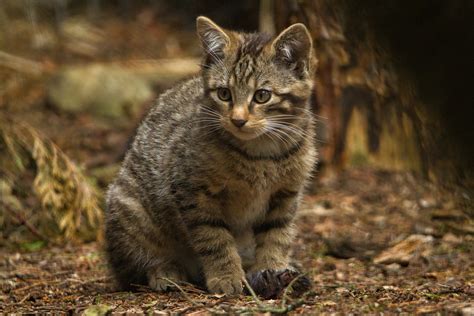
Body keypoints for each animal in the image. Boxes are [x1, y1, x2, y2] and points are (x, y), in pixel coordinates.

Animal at [105, 16, 316, 296]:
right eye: (224, 93)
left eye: (262, 95)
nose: (238, 120)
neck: (261, 154)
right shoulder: (192, 191)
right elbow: (214, 238)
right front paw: (226, 276)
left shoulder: (286, 194)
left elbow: (276, 235)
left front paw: (272, 269)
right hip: (129, 211)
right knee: (131, 268)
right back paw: (164, 272)